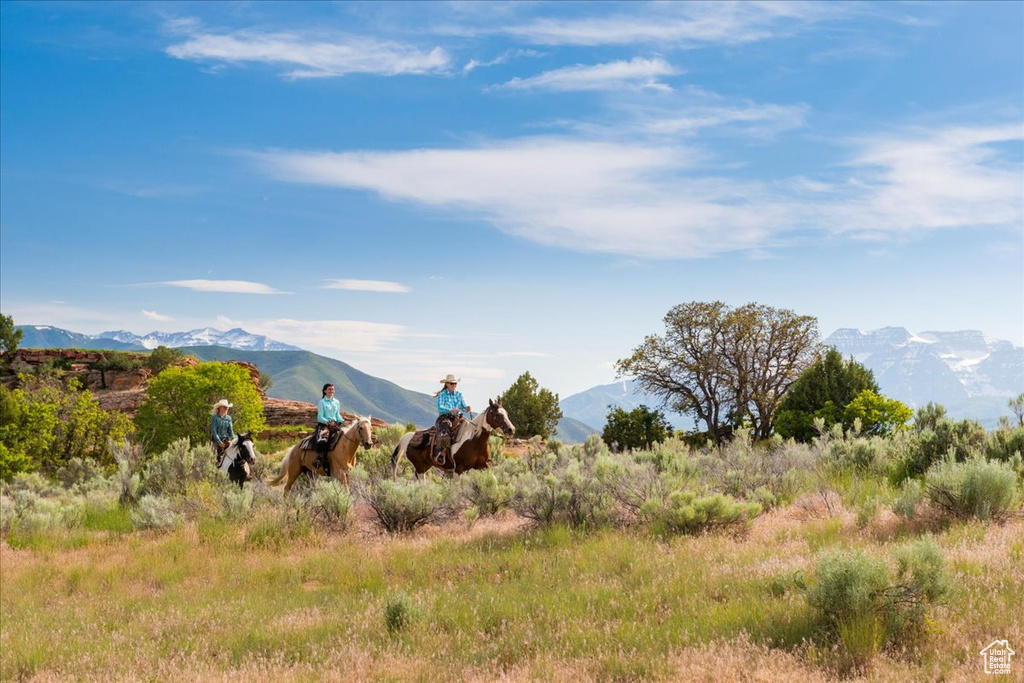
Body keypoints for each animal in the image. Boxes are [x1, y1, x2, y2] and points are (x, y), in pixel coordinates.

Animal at [391, 397, 520, 479]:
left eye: (507, 413)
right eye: (497, 414)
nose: (511, 429)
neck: (475, 442)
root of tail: (409, 437)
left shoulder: (484, 465)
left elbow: (494, 482)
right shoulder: (458, 469)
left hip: (425, 466)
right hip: (420, 467)